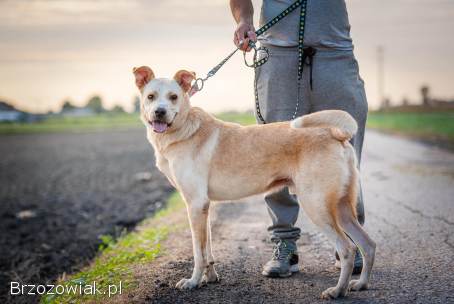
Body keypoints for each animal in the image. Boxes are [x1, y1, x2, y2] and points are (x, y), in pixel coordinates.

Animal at [132, 65, 376, 298]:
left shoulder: (194, 204)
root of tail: (336, 135)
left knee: (347, 248)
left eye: (173, 97)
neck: (182, 129)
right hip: (342, 208)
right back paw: (360, 284)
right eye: (151, 96)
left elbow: (198, 253)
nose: (160, 112)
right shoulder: (203, 206)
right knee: (367, 244)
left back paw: (338, 291)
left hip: (317, 206)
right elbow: (207, 249)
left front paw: (193, 282)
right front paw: (210, 278)